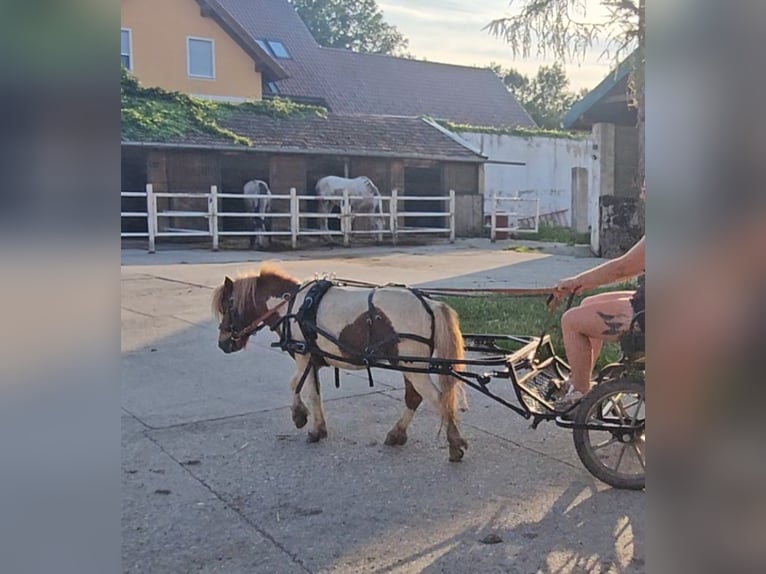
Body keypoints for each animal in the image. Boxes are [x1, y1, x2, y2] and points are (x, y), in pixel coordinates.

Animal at [213, 264, 472, 464]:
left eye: (228, 306)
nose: (223, 344)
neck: (292, 306)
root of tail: (429, 304)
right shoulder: (313, 359)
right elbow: (306, 388)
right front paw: (311, 422)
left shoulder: (303, 356)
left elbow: (302, 388)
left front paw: (306, 422)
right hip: (407, 365)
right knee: (414, 398)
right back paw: (396, 434)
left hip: (412, 366)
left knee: (437, 399)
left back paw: (454, 444)